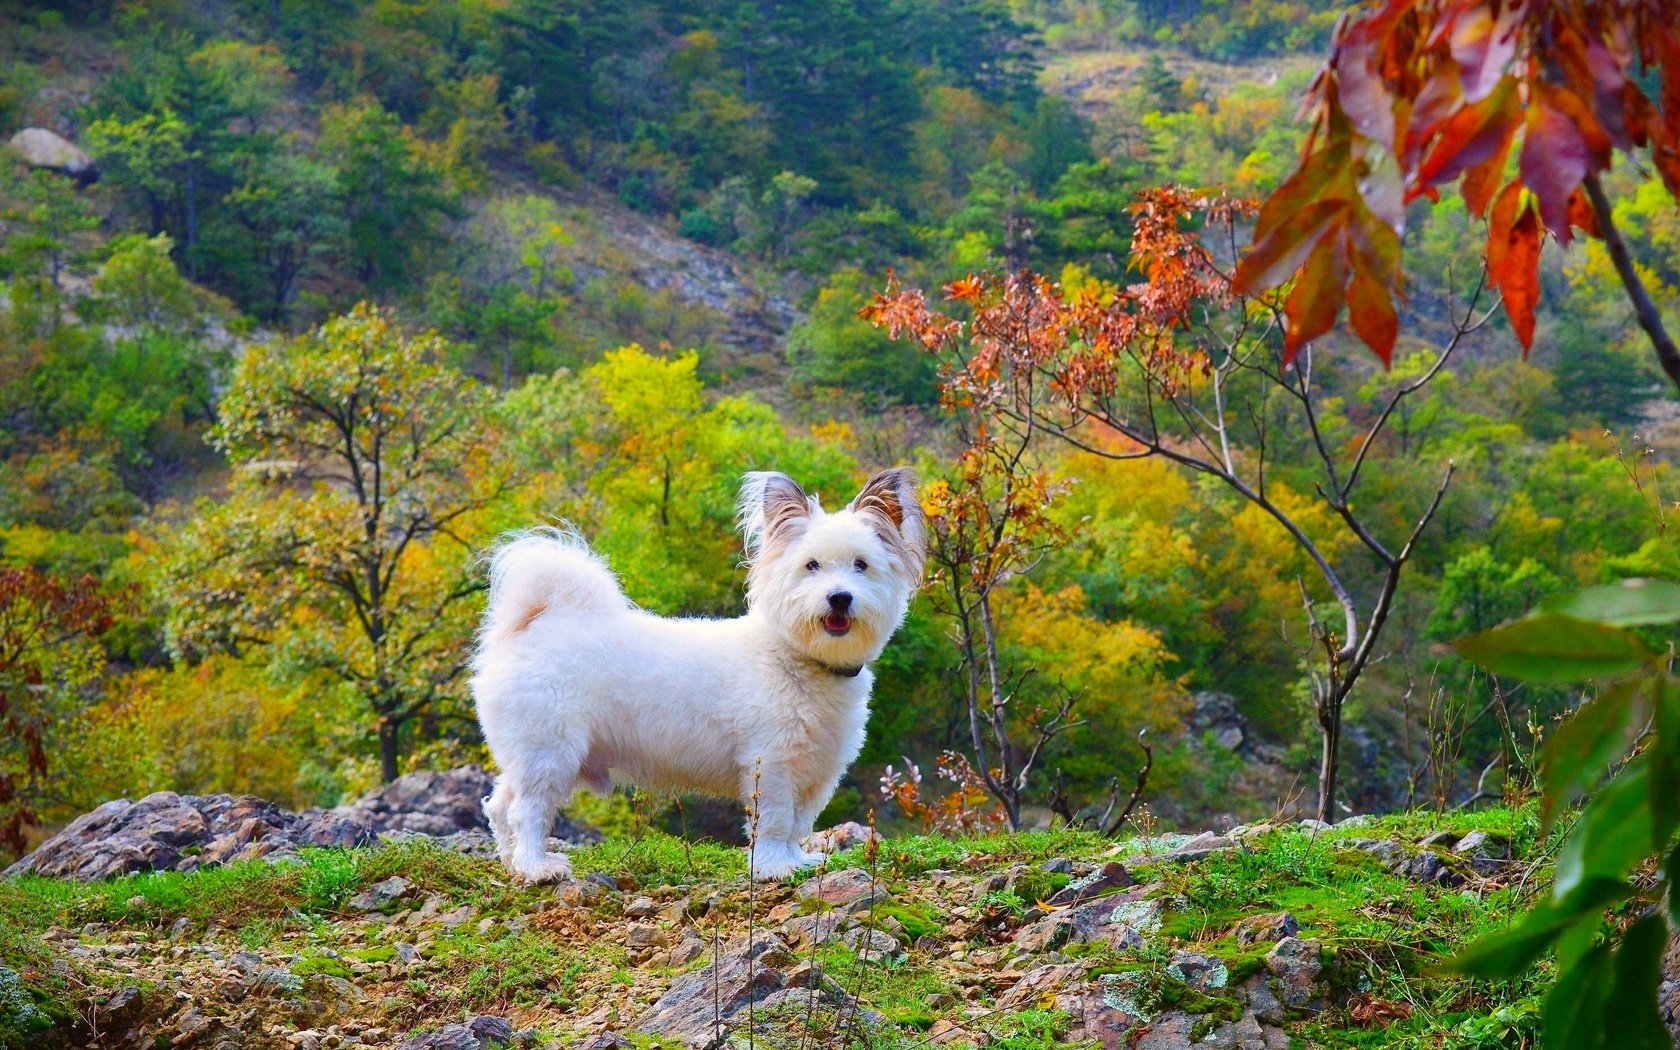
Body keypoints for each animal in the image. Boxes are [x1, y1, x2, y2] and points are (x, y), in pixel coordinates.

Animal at [467, 467, 927, 873]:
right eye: (811, 565)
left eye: (861, 565)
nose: (839, 598)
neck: (797, 658)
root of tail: (535, 625)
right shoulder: (771, 764)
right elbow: (776, 821)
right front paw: (774, 867)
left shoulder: (818, 771)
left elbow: (798, 824)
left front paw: (796, 860)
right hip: (550, 751)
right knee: (527, 811)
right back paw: (536, 867)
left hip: (530, 754)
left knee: (502, 806)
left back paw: (511, 863)